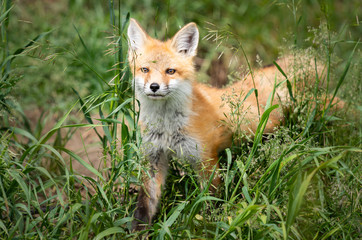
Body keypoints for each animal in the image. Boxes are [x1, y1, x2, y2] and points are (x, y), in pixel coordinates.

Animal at [126, 18, 296, 229]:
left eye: (170, 71)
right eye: (145, 69)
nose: (154, 87)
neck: (167, 128)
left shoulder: (206, 160)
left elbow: (209, 205)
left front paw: (205, 228)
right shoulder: (153, 158)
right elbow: (144, 206)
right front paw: (137, 231)